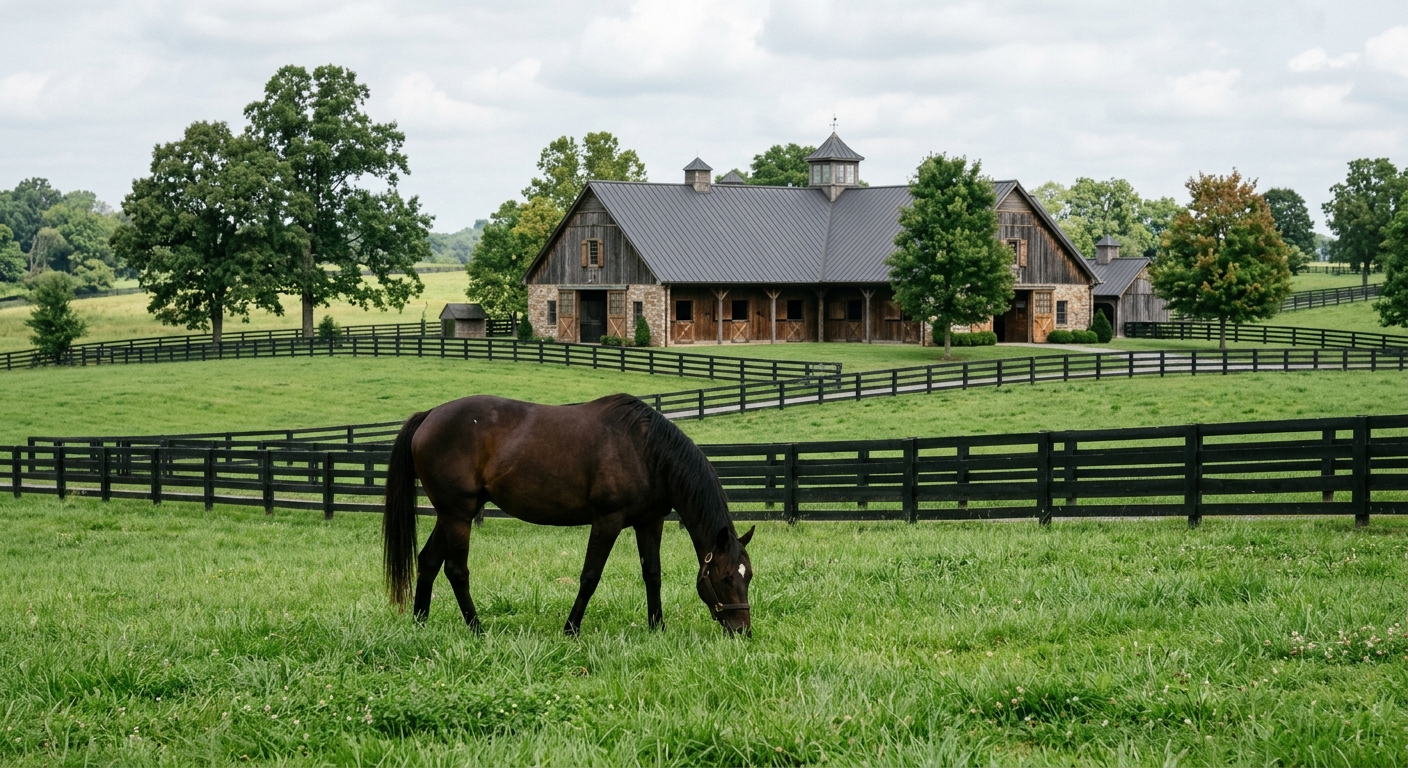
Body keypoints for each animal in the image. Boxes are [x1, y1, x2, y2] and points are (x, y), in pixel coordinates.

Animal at [382, 393, 754, 636]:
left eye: (747, 576)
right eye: (725, 578)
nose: (742, 630)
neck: (646, 450)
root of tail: (429, 415)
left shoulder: (650, 522)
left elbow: (653, 574)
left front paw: (657, 627)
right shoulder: (607, 521)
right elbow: (590, 577)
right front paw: (571, 628)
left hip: (451, 515)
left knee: (428, 561)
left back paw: (420, 623)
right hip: (458, 515)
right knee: (456, 571)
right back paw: (477, 629)